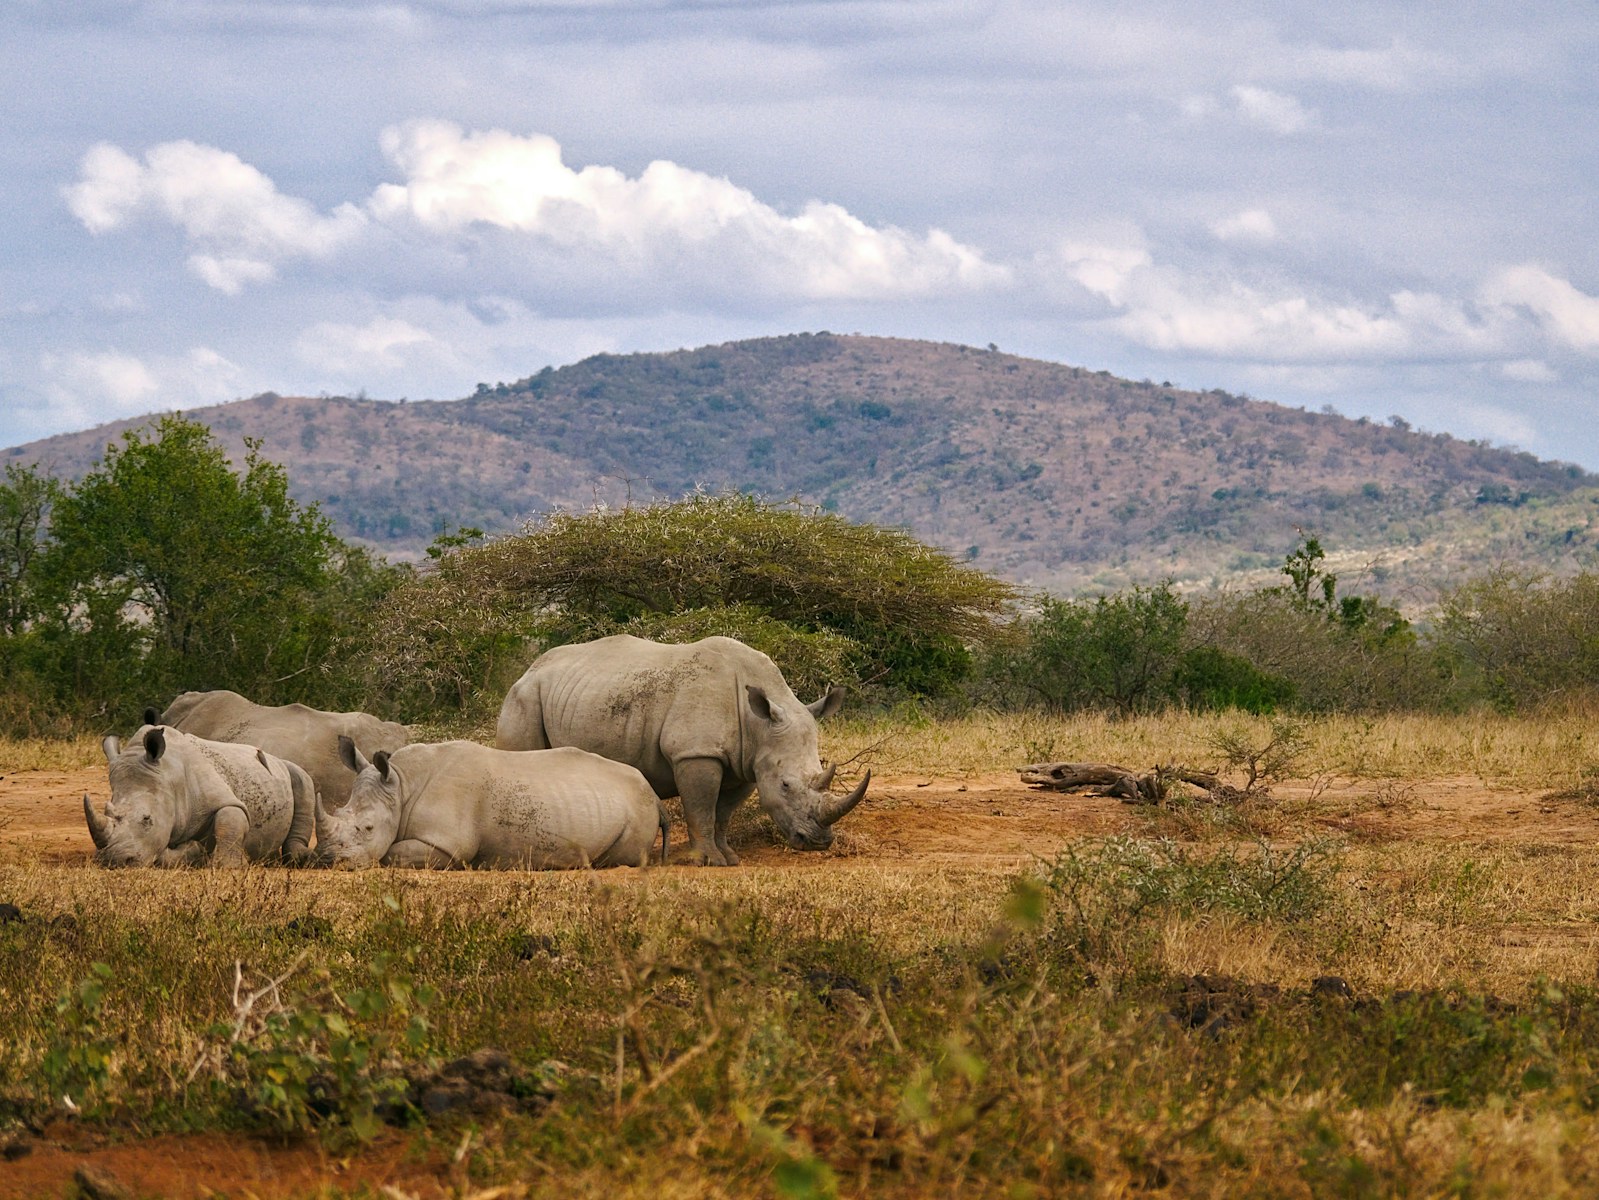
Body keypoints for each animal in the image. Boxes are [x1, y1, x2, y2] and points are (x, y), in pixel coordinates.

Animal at [84, 725, 315, 868]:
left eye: (147, 819)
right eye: (107, 811)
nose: (115, 860)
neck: (169, 777)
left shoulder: (222, 797)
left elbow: (229, 820)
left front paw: (229, 865)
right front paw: (194, 851)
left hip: (289, 768)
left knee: (302, 779)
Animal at [316, 737, 668, 870]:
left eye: (367, 828)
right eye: (339, 812)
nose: (327, 859)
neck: (401, 785)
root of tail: (652, 793)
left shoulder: (447, 843)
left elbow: (392, 854)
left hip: (638, 807)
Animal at [495, 634, 869, 866]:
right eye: (786, 785)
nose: (818, 842)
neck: (758, 725)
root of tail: (529, 669)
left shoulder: (747, 763)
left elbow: (722, 813)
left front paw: (729, 858)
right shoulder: (695, 752)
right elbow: (700, 807)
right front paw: (707, 861)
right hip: (523, 697)